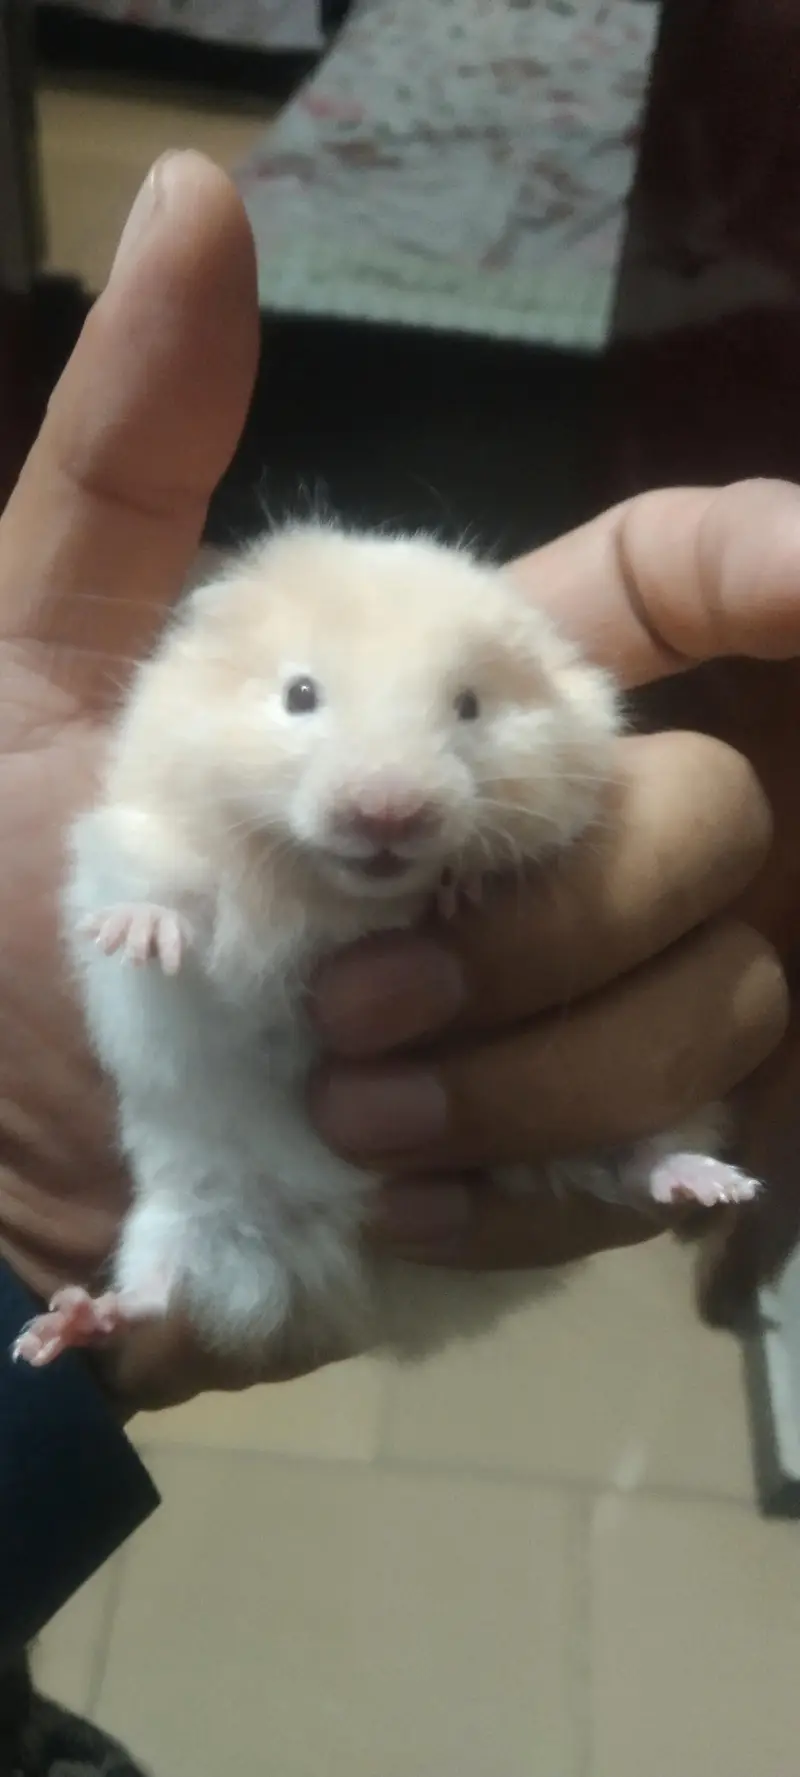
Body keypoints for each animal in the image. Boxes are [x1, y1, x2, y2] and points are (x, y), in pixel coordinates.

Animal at [12, 524, 758, 1372]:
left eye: (469, 705)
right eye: (300, 694)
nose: (387, 815)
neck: (334, 895)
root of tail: (356, 1277)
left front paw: (461, 887)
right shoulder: (140, 840)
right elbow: (168, 893)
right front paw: (139, 936)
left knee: (639, 1162)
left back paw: (717, 1185)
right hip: (184, 1205)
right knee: (152, 1292)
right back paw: (59, 1327)